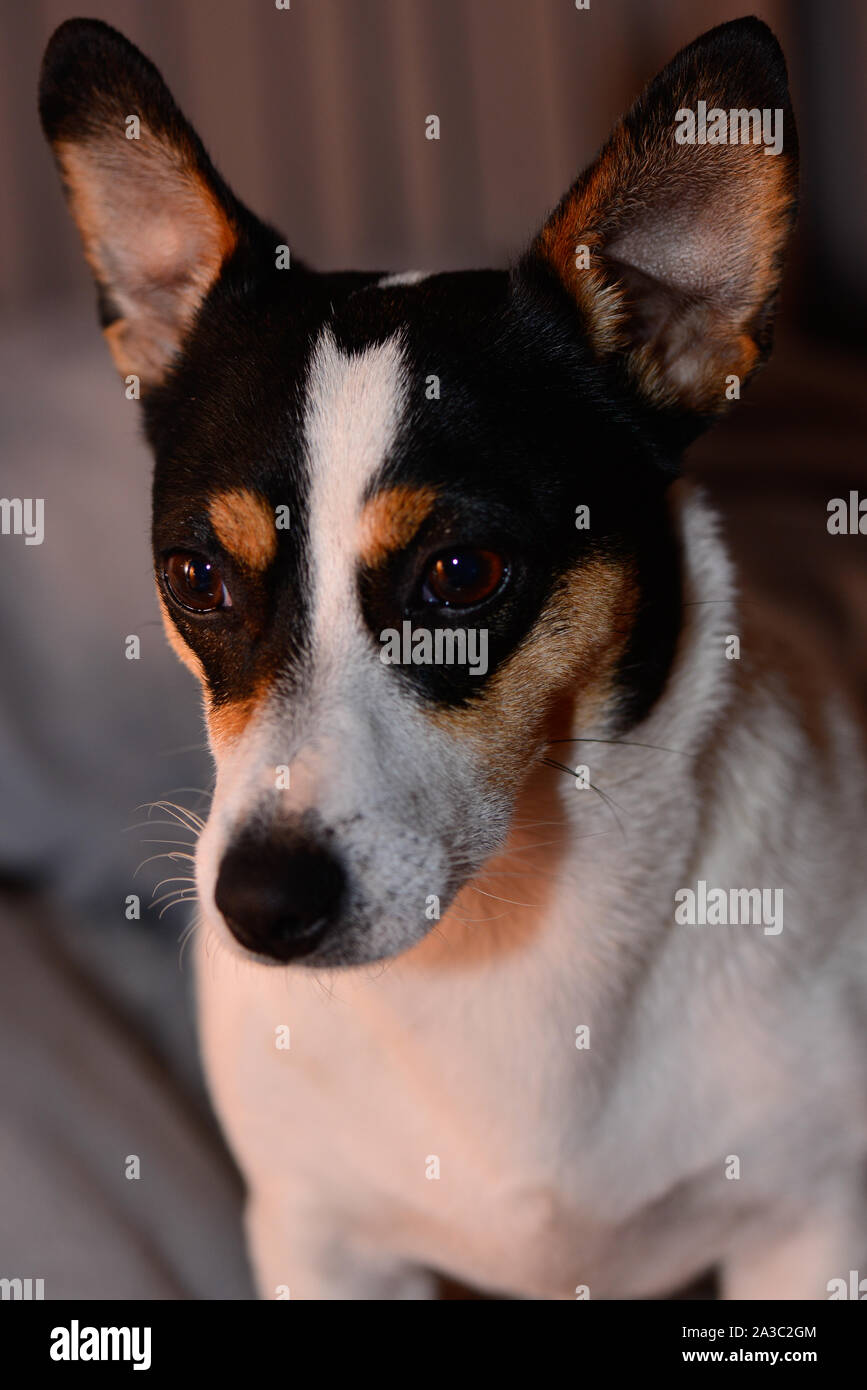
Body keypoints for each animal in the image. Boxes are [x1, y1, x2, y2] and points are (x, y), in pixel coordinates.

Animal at [40, 16, 867, 1295]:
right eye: (194, 578)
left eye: (464, 574)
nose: (260, 907)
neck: (503, 947)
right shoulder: (324, 1243)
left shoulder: (807, 1222)